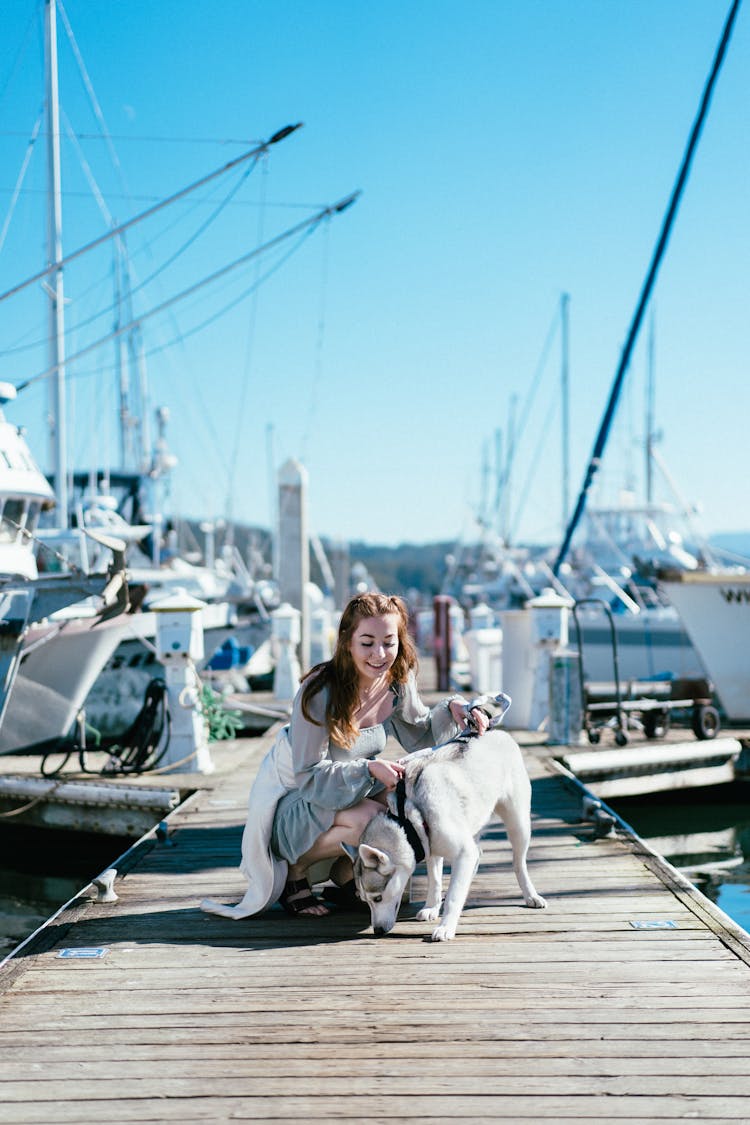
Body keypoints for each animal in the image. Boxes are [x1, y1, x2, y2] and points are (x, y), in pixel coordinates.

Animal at [344, 720, 546, 940]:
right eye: (365, 900)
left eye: (378, 898)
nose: (378, 931)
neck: (408, 819)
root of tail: (497, 732)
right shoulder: (430, 847)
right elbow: (435, 881)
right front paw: (432, 907)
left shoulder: (461, 851)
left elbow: (453, 896)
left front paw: (446, 926)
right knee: (477, 854)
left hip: (518, 824)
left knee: (518, 863)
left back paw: (531, 894)